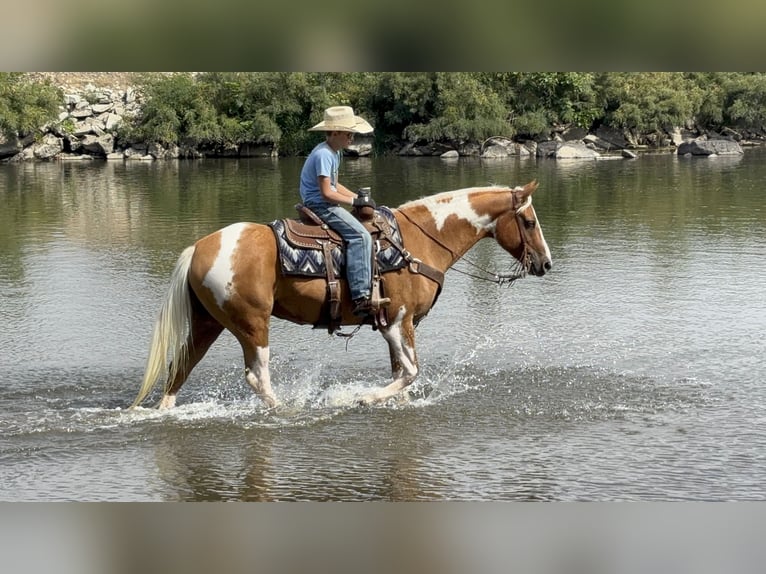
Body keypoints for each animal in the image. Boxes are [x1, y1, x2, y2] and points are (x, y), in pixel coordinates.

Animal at [131, 180, 552, 409]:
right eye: (530, 222)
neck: (420, 241)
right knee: (257, 377)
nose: (546, 264)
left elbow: (402, 373)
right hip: (252, 324)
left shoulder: (395, 326)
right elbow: (411, 372)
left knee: (179, 369)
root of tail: (201, 247)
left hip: (208, 324)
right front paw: (363, 399)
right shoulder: (399, 322)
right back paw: (285, 409)